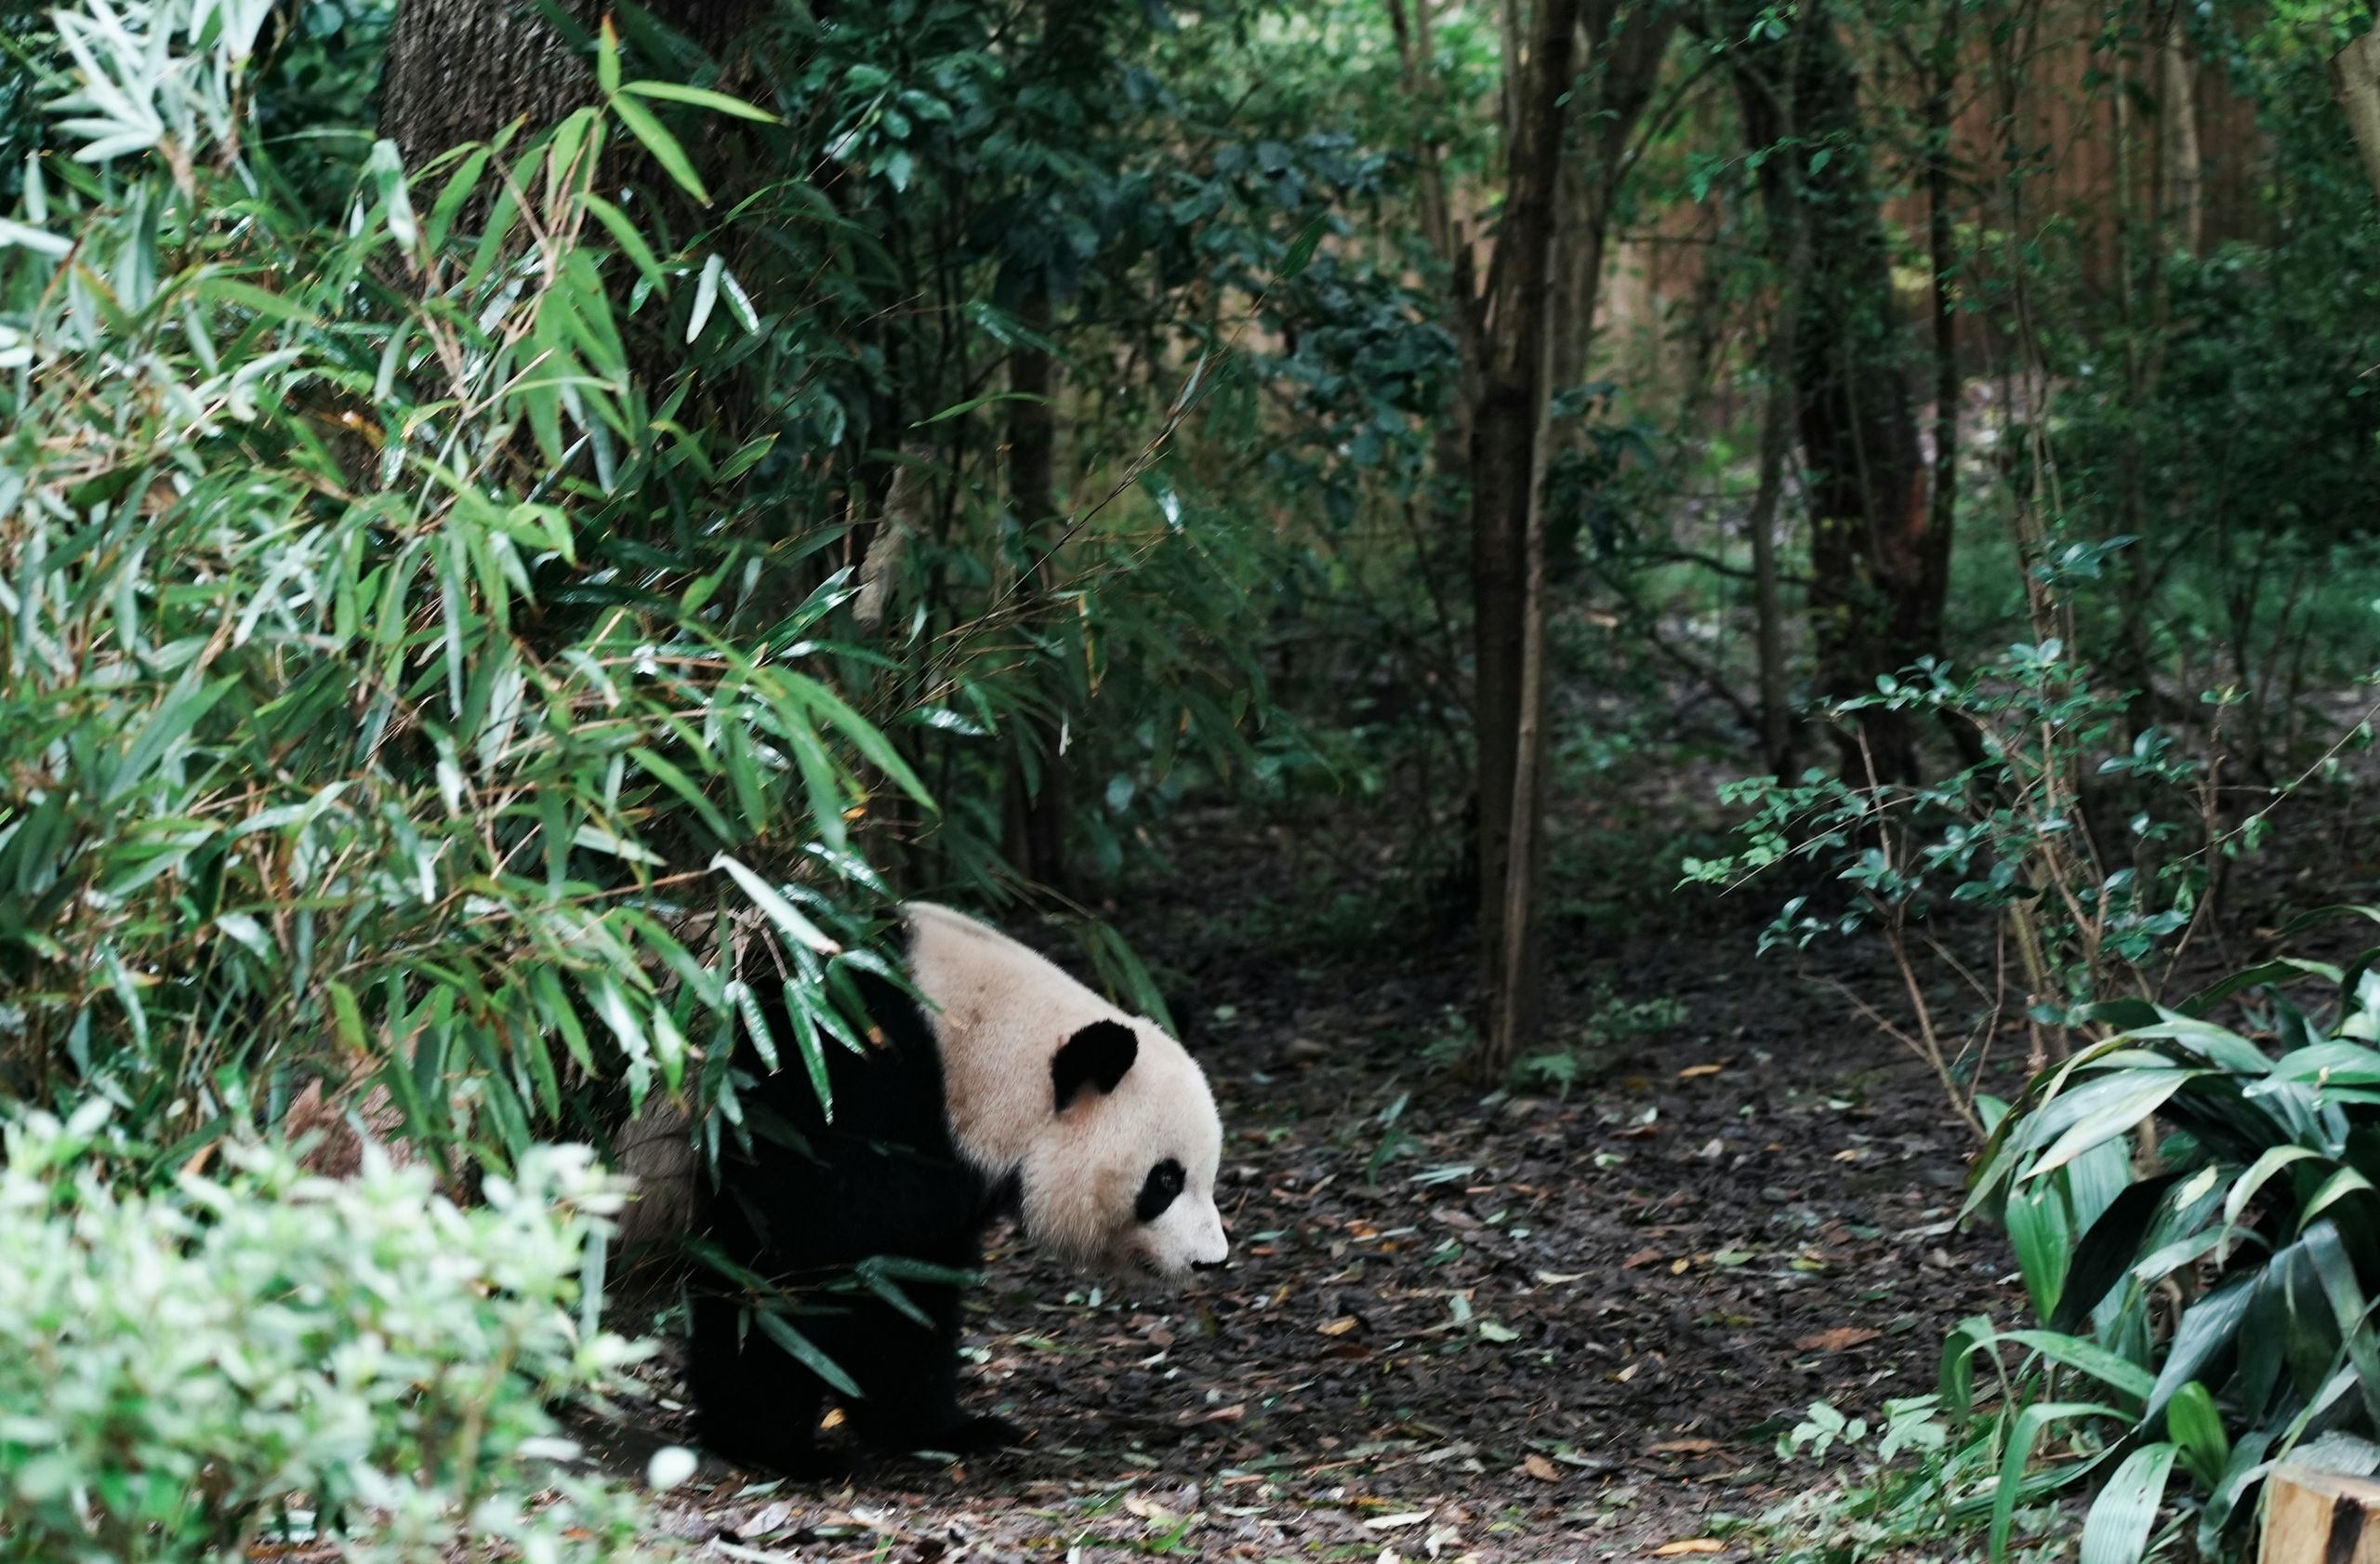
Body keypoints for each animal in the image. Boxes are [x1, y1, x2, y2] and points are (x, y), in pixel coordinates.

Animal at [667, 901, 1230, 1477]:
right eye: (1166, 1180)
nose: (1210, 1260)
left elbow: (904, 1291)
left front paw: (945, 1429)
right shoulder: (836, 1087)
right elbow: (791, 1261)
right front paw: (772, 1445)